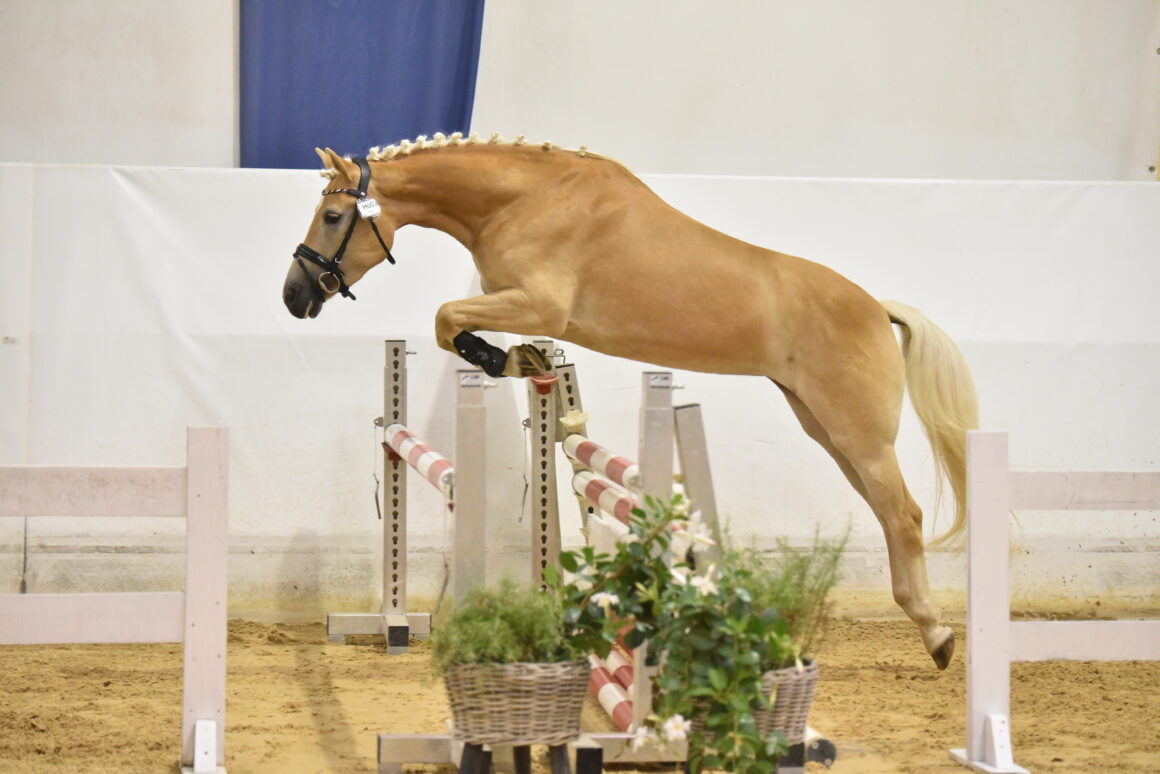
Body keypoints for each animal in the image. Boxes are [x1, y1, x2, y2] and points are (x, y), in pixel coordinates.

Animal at [283, 131, 979, 668]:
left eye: (334, 218)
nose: (295, 295)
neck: (524, 198)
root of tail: (877, 308)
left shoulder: (537, 304)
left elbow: (445, 317)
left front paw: (510, 360)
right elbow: (454, 324)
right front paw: (529, 362)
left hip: (859, 434)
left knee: (905, 515)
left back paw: (939, 637)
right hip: (827, 431)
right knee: (889, 514)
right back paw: (928, 627)